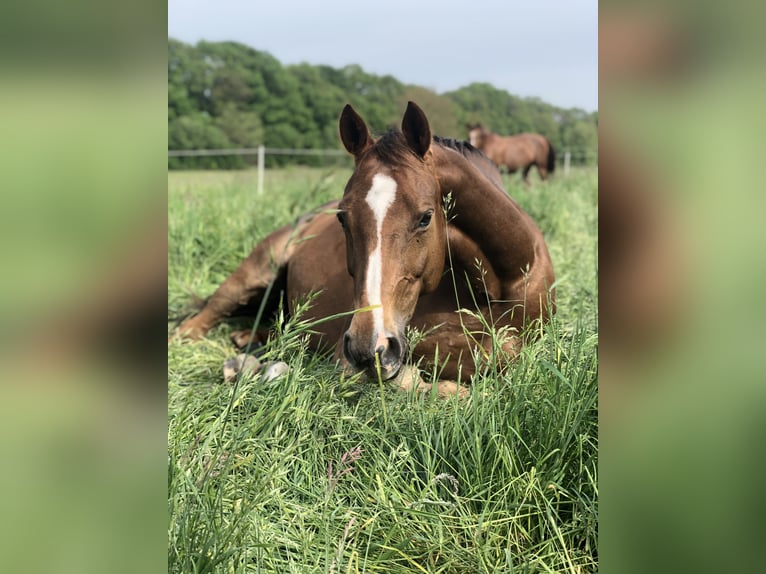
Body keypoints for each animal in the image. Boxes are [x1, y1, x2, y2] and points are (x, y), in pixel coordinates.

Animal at [176, 102, 556, 396]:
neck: (505, 282)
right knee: (196, 324)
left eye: (425, 217)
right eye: (343, 218)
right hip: (252, 276)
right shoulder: (357, 361)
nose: (367, 347)